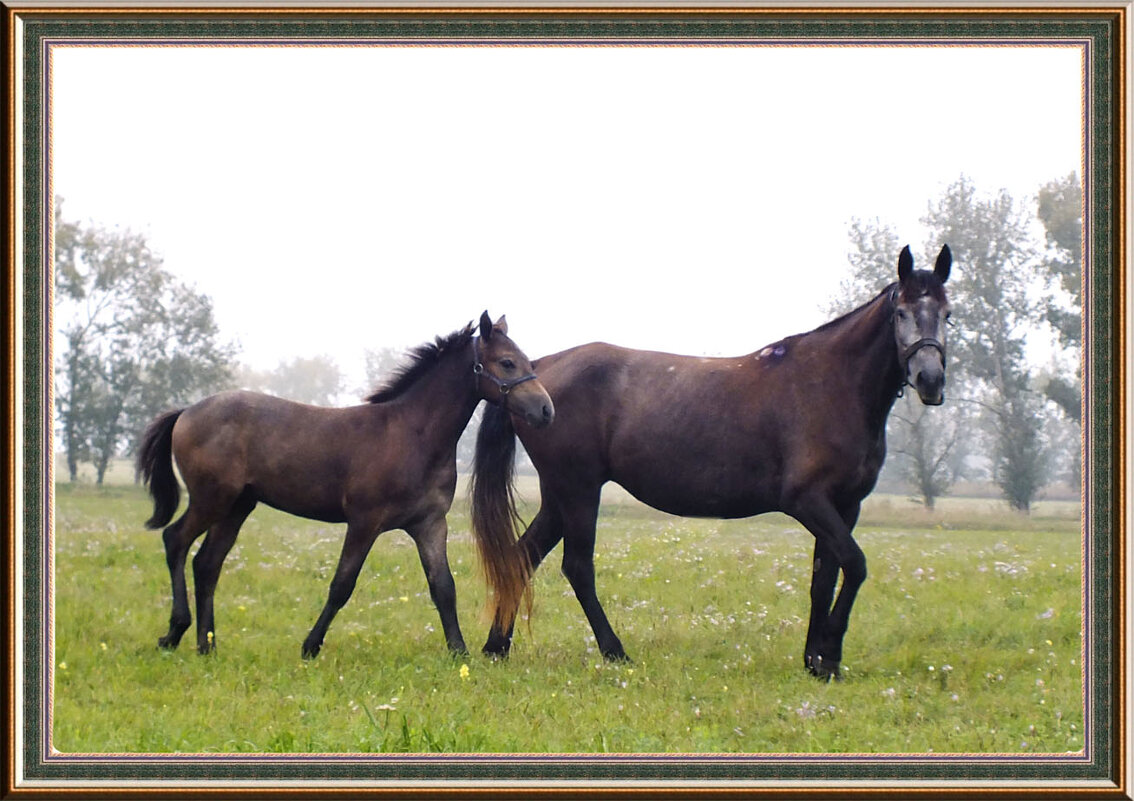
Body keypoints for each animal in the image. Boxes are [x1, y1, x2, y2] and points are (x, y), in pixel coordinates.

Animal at [137, 310, 553, 653]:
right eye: (507, 362)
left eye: (526, 361)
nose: (546, 410)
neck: (412, 435)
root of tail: (187, 411)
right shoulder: (364, 521)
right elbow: (342, 584)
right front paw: (310, 646)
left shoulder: (430, 524)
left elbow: (443, 586)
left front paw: (459, 653)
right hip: (211, 499)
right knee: (175, 541)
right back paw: (174, 632)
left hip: (238, 505)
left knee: (208, 563)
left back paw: (206, 644)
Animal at [474, 246, 952, 676]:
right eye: (901, 313)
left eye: (947, 314)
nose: (930, 379)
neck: (830, 384)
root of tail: (538, 373)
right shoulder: (808, 502)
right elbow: (855, 566)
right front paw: (830, 655)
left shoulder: (845, 507)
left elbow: (824, 579)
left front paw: (814, 660)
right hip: (578, 490)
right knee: (576, 568)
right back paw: (614, 651)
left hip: (561, 495)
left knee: (522, 556)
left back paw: (497, 646)